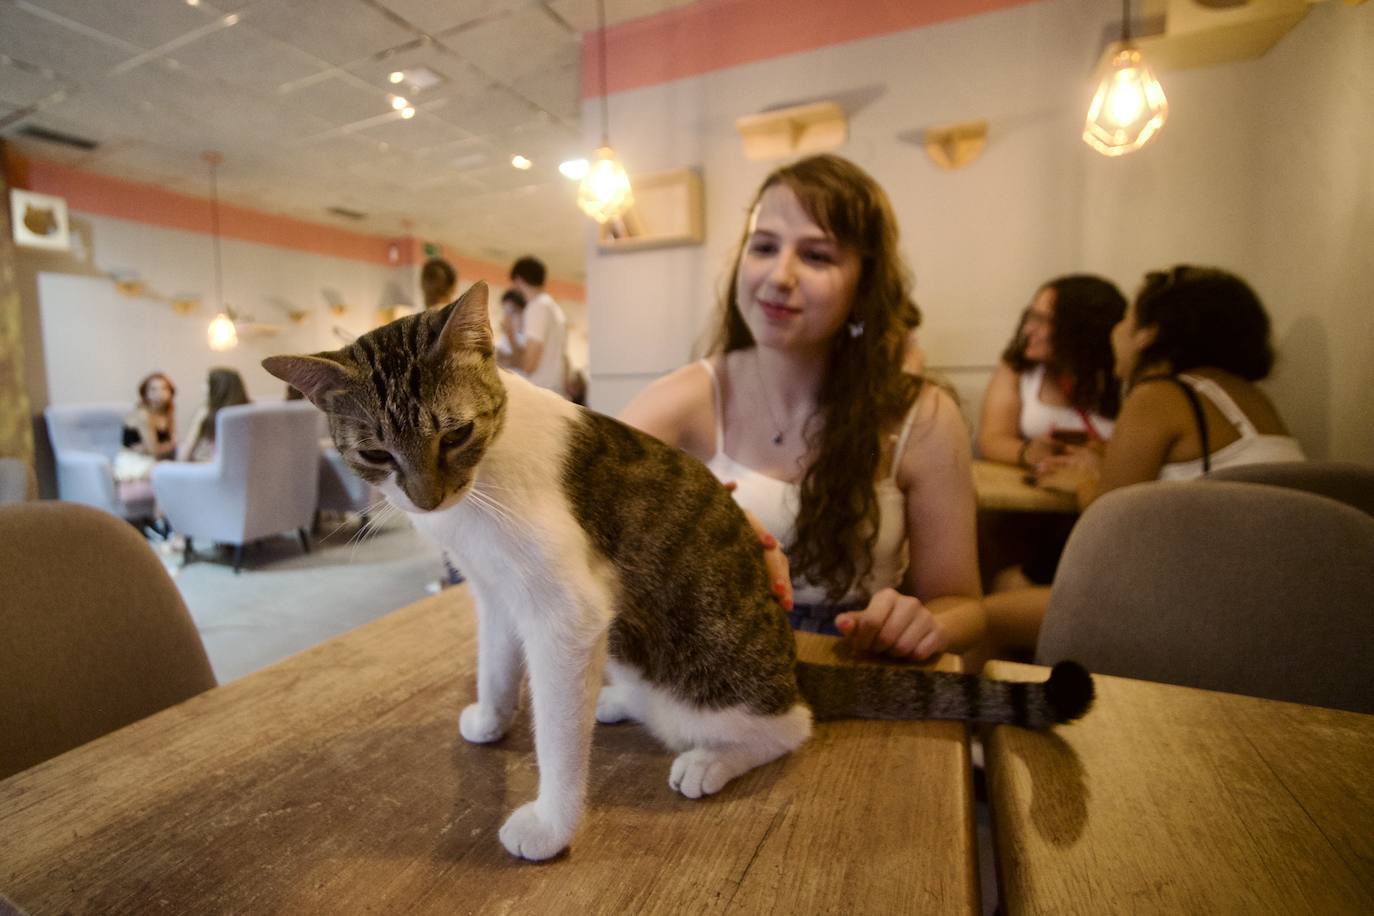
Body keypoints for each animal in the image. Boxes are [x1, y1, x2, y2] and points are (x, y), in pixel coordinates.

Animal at [259, 282, 1093, 862]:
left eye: (456, 433)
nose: (427, 499)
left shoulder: (566, 613)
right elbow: (496, 663)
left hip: (704, 679)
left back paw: (710, 760)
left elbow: (555, 733)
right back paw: (614, 701)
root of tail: (791, 664)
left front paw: (552, 822)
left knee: (790, 726)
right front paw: (492, 719)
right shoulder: (498, 594)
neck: (482, 487)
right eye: (375, 454)